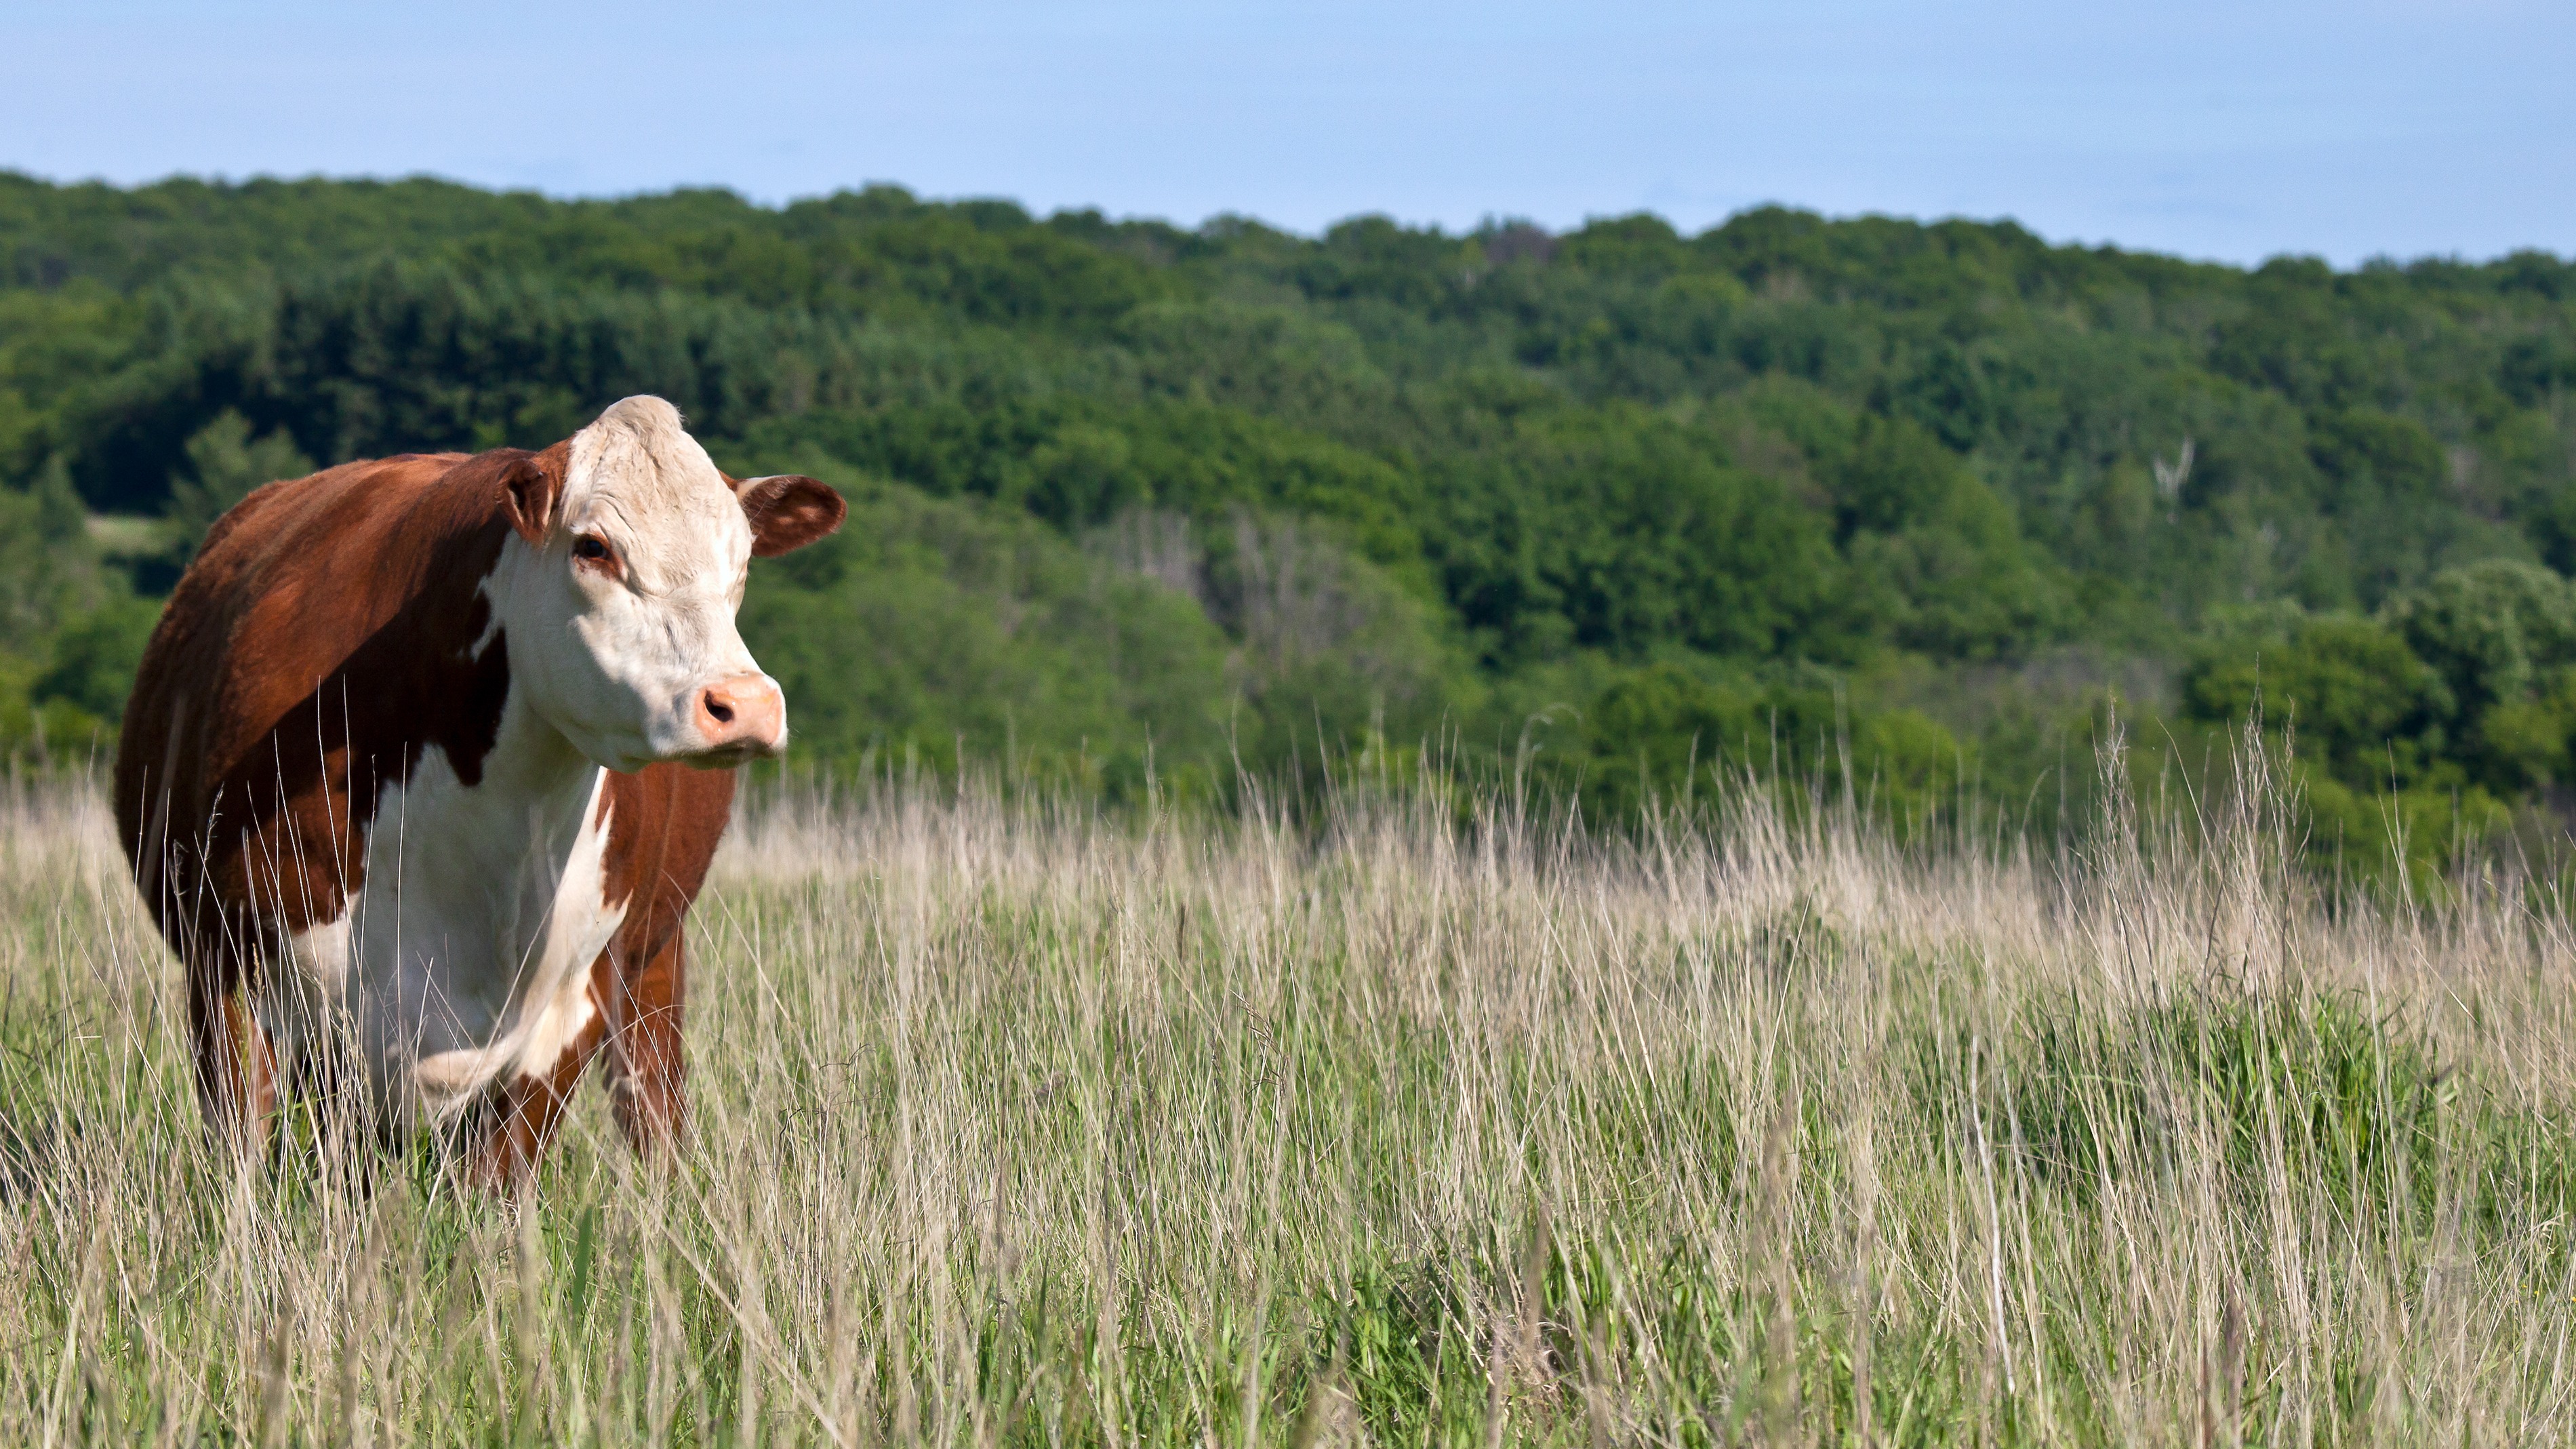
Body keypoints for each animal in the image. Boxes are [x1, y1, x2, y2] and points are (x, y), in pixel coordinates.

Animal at [113, 391, 845, 1175]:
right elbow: (242, 1149)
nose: (746, 703)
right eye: (593, 546)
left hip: (656, 953)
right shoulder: (228, 959)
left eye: (741, 559)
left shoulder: (567, 1005)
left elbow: (499, 1174)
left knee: (652, 1098)